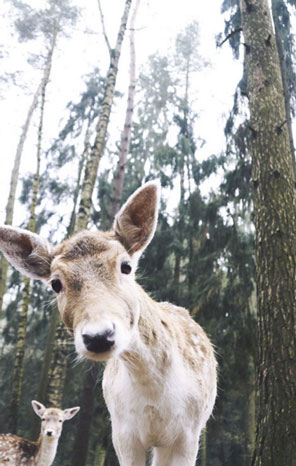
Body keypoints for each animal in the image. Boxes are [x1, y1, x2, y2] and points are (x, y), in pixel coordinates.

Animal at [0, 182, 217, 466]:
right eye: (56, 283)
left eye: (126, 266)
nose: (99, 336)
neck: (154, 393)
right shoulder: (122, 433)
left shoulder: (188, 433)